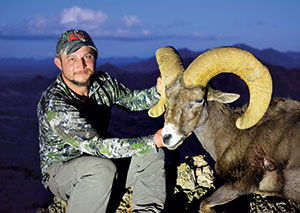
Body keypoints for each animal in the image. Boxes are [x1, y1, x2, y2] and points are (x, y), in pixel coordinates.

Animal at [148, 47, 300, 213]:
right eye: (167, 97)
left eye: (199, 100)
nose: (166, 137)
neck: (232, 135)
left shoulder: (239, 185)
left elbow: (204, 203)